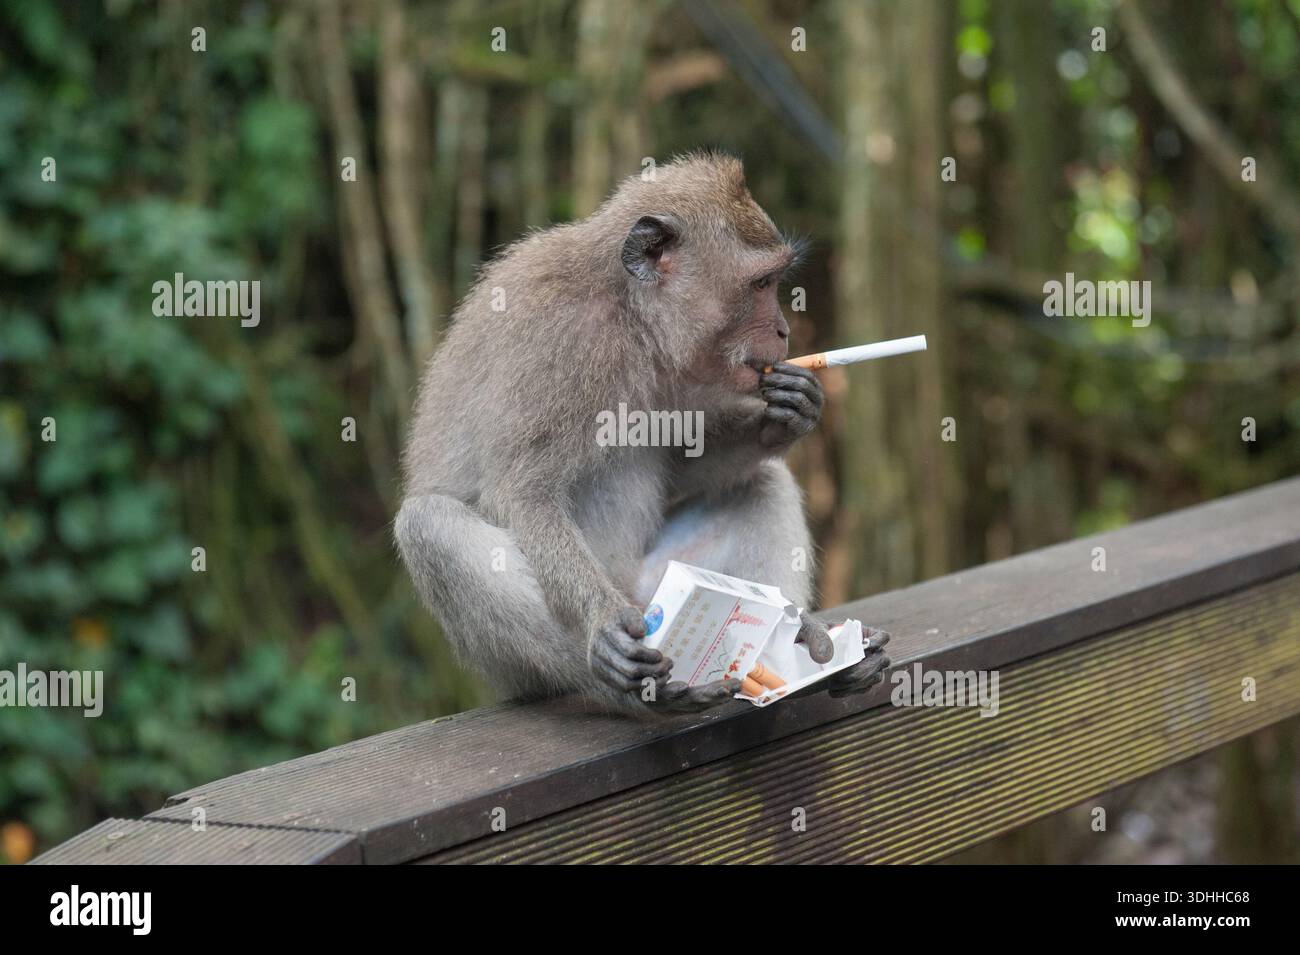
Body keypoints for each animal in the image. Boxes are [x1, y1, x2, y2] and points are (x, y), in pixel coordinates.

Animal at [396, 152, 890, 716]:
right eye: (762, 284)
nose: (785, 330)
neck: (628, 314)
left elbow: (683, 466)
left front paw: (790, 413)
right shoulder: (561, 344)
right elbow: (521, 493)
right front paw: (603, 626)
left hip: (657, 578)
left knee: (764, 482)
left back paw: (804, 639)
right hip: (545, 653)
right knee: (429, 526)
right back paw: (641, 688)